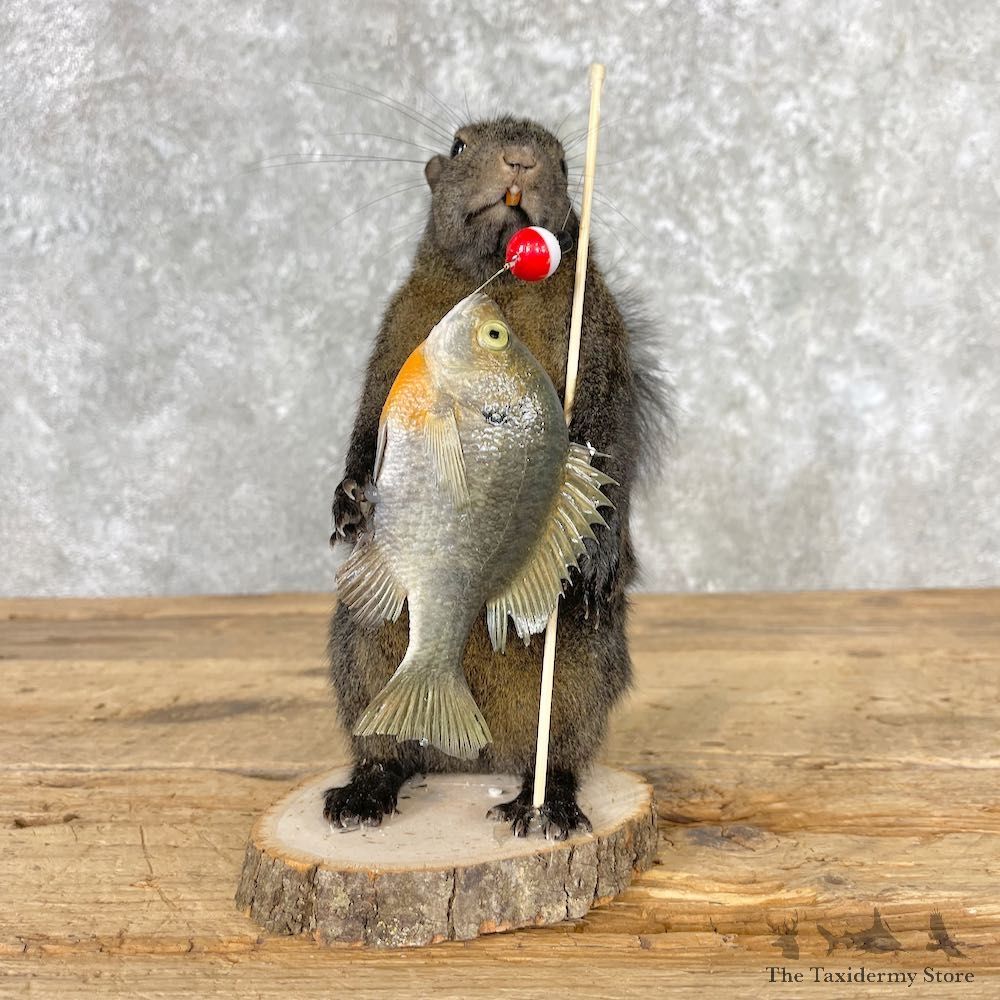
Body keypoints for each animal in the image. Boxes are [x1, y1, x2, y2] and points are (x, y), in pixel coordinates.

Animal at [323, 115, 670, 840]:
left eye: (563, 161)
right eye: (459, 146)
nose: (520, 161)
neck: (499, 280)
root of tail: (473, 754)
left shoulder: (600, 338)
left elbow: (609, 444)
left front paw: (603, 547)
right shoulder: (396, 336)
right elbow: (368, 424)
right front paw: (349, 501)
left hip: (582, 670)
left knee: (560, 748)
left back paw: (548, 802)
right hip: (364, 647)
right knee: (387, 747)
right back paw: (368, 788)